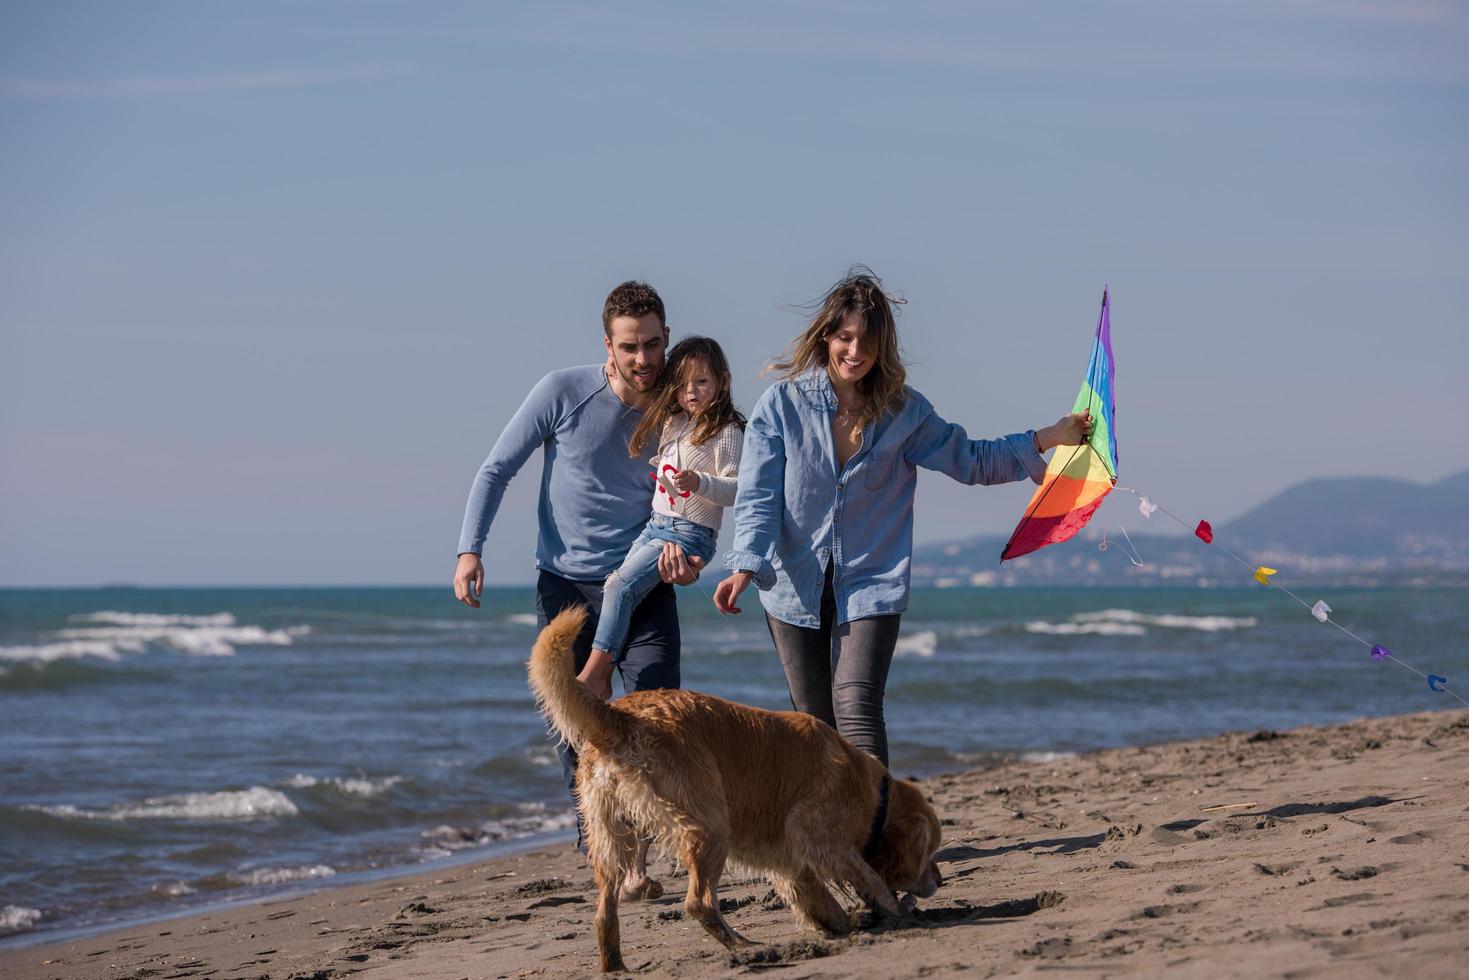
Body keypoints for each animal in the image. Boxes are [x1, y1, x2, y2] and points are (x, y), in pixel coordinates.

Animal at [528, 608, 940, 969]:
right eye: (929, 851)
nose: (939, 879)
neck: (875, 796)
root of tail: (622, 716)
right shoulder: (820, 839)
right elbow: (869, 877)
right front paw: (896, 912)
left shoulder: (791, 862)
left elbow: (816, 895)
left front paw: (846, 923)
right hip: (709, 825)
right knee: (698, 902)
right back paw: (742, 944)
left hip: (609, 836)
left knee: (604, 913)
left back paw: (614, 962)